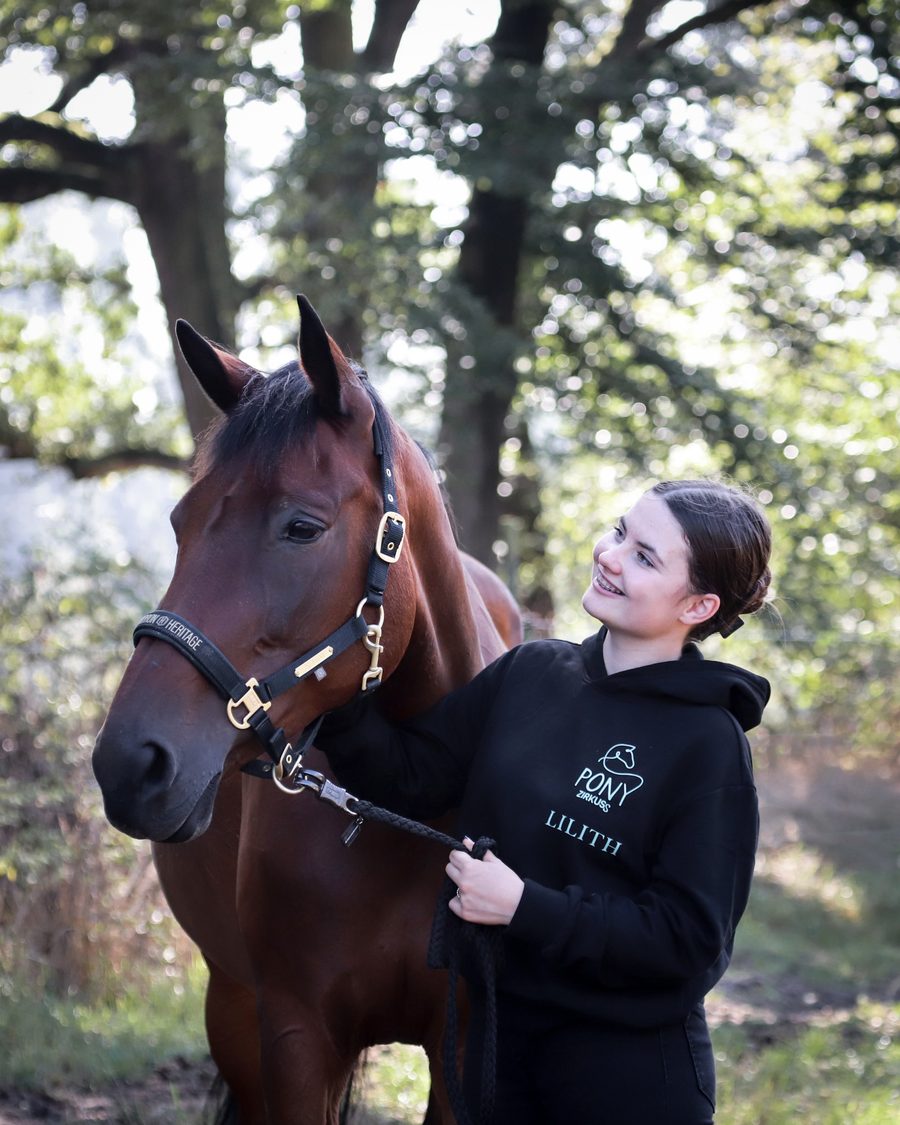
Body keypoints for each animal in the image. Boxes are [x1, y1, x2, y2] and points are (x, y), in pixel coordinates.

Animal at [92, 296, 521, 1124]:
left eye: (302, 526)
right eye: (180, 521)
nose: (128, 761)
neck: (407, 811)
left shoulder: (461, 1049)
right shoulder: (295, 1036)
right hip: (232, 1004)